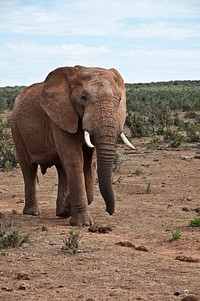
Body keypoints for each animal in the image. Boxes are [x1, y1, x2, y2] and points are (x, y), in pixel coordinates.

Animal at [11, 65, 135, 225]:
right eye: (83, 98)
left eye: (119, 99)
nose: (109, 211)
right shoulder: (60, 116)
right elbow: (75, 161)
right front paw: (82, 224)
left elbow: (89, 164)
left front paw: (68, 208)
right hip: (16, 128)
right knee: (28, 168)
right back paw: (32, 213)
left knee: (61, 169)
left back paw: (62, 212)